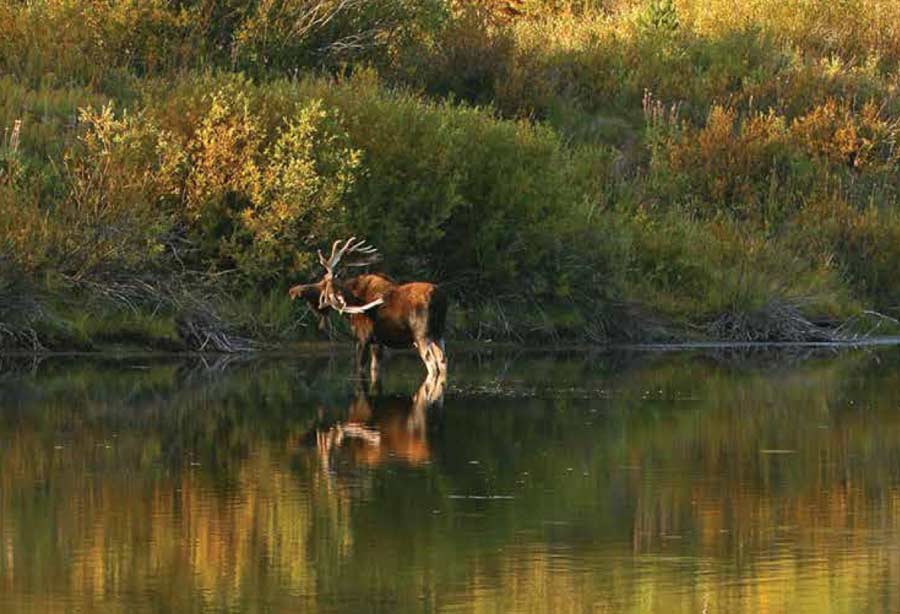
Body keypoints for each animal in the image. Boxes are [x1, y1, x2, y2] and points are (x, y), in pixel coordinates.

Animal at [288, 238, 446, 382]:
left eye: (321, 285)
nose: (293, 290)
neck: (351, 302)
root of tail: (438, 298)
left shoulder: (362, 338)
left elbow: (359, 368)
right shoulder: (378, 342)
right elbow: (374, 370)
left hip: (422, 336)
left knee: (433, 366)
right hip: (439, 334)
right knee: (442, 362)